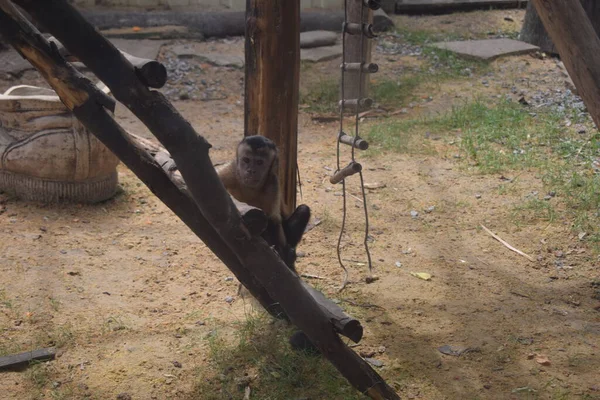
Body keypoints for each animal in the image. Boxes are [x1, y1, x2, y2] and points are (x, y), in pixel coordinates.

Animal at [216, 135, 310, 272]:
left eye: (259, 163)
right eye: (246, 160)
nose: (251, 170)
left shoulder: (272, 183)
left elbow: (273, 220)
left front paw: (282, 256)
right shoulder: (232, 170)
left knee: (302, 210)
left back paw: (288, 255)